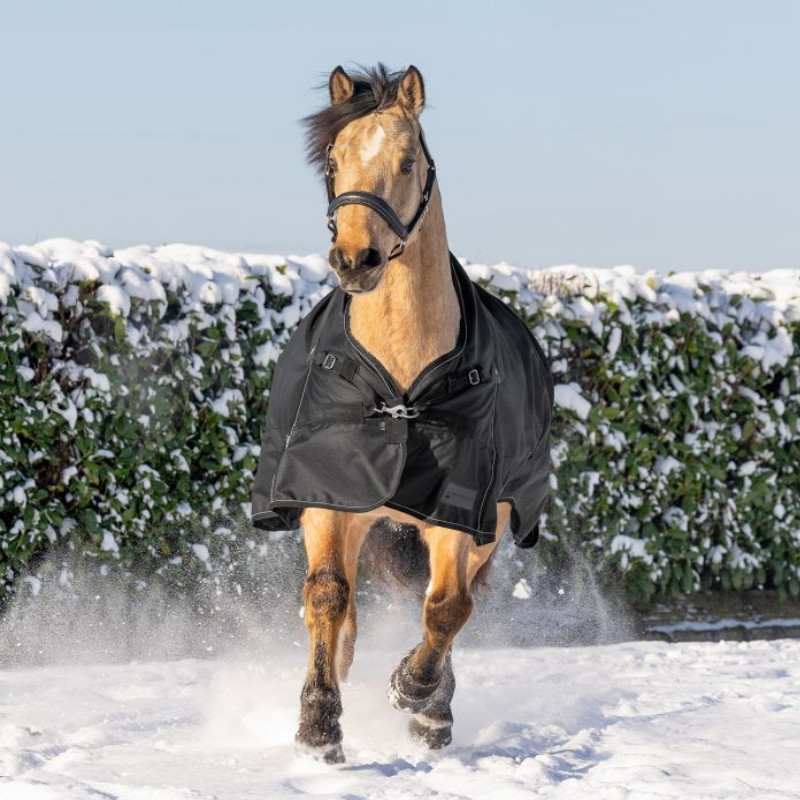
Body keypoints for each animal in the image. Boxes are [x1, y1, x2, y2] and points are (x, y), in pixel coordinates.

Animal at [251, 64, 552, 763]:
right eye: (333, 160)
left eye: (408, 160)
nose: (355, 260)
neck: (401, 388)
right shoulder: (328, 498)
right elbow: (327, 594)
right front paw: (319, 727)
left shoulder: (460, 511)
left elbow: (446, 608)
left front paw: (416, 697)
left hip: (493, 523)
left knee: (450, 604)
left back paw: (431, 706)